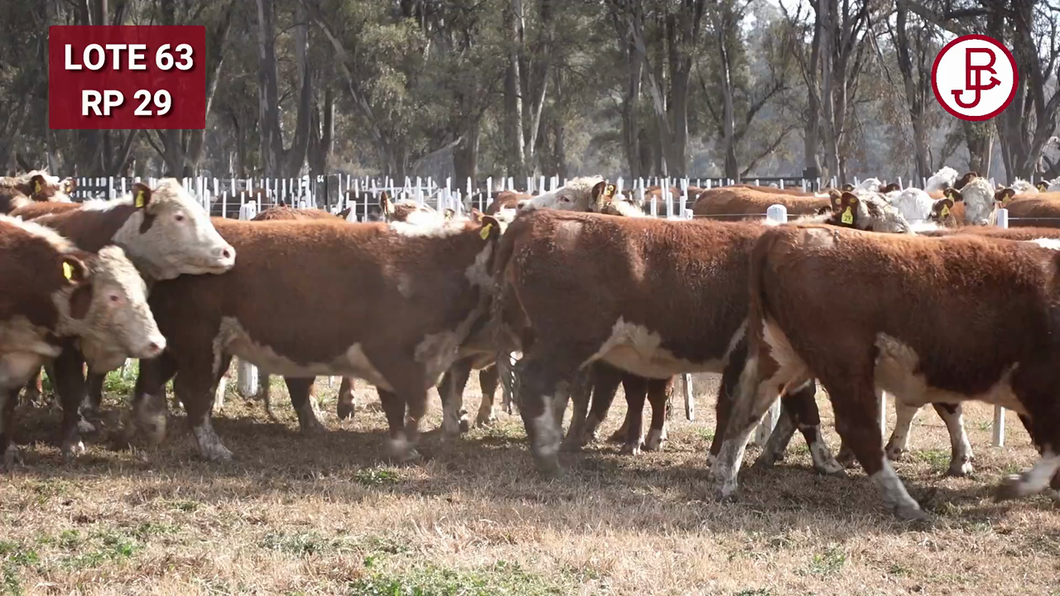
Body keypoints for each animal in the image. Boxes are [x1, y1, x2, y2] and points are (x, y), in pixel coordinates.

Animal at [121, 213, 502, 460]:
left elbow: (398, 404)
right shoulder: (392, 353)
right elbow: (415, 403)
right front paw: (403, 447)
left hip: (182, 339)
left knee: (151, 378)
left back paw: (149, 427)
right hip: (201, 340)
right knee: (193, 391)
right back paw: (215, 450)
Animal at [708, 224, 1060, 517]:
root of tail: (782, 234)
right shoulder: (1038, 384)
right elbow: (1054, 446)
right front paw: (1016, 485)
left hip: (779, 357)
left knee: (744, 414)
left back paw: (726, 482)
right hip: (845, 364)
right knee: (858, 429)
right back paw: (905, 503)